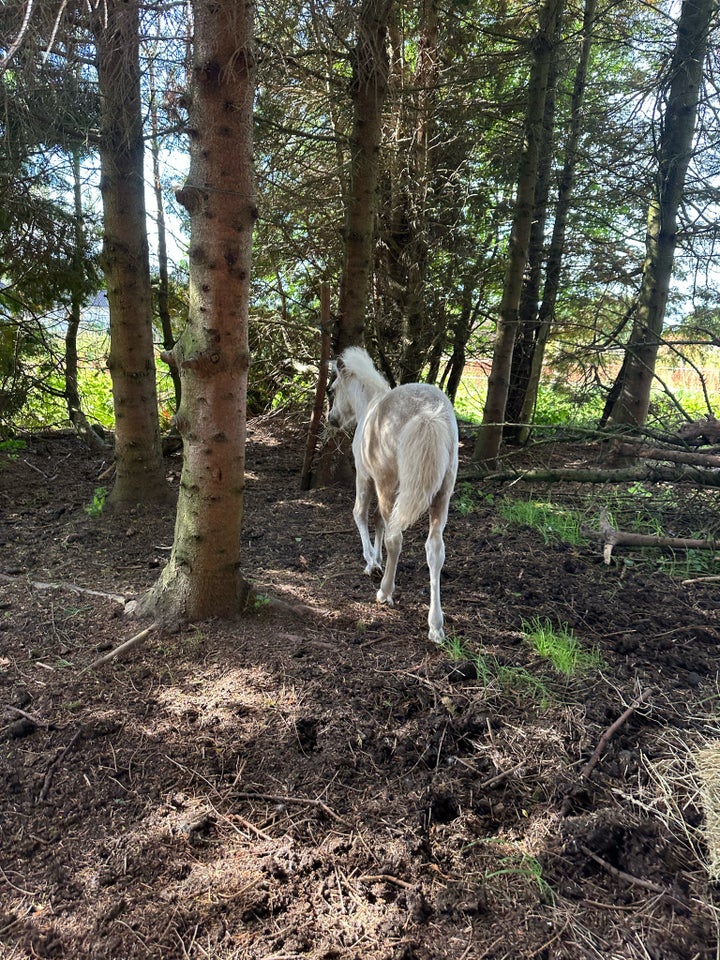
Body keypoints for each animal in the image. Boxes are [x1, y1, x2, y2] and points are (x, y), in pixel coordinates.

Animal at [326, 346, 456, 644]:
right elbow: (379, 521)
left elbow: (362, 515)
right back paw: (435, 625)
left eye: (332, 389)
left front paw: (371, 563)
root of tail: (429, 413)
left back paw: (385, 592)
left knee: (395, 538)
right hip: (443, 493)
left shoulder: (365, 476)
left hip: (387, 484)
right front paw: (376, 559)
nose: (332, 419)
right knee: (435, 549)